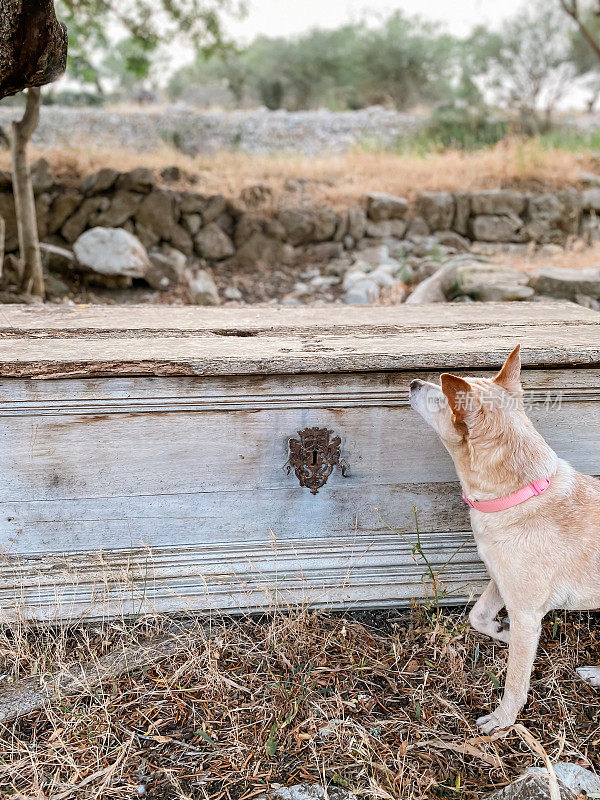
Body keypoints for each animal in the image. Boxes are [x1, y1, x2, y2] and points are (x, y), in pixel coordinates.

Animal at [408, 346, 600, 736]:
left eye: (439, 396)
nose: (414, 382)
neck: (520, 495)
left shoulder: (526, 610)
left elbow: (515, 680)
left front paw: (503, 720)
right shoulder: (501, 580)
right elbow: (478, 616)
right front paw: (503, 633)